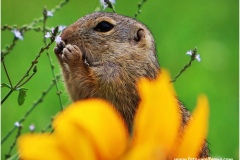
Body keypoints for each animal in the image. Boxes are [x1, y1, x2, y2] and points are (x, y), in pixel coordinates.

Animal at [53, 11, 209, 157]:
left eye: (104, 26)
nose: (64, 35)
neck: (126, 57)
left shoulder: (116, 81)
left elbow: (88, 86)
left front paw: (73, 55)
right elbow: (77, 92)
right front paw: (59, 50)